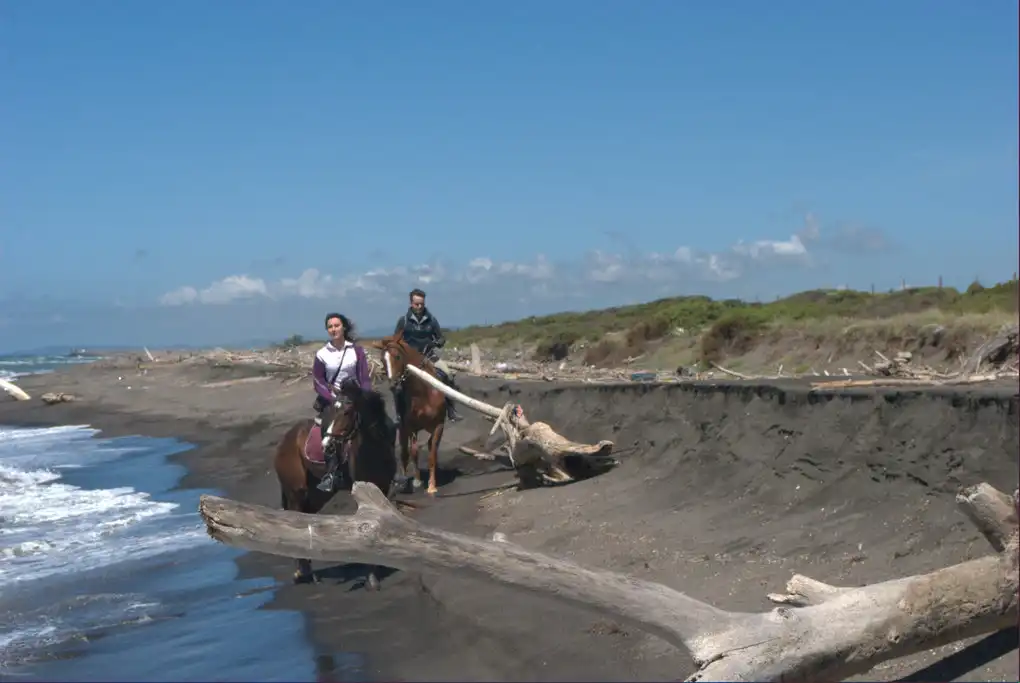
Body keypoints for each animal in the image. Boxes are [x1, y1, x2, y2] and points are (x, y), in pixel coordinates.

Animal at [273, 378, 398, 588]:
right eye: (332, 411)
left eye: (347, 412)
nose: (327, 445)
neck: (374, 450)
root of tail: (286, 439)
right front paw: (371, 578)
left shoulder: (382, 487)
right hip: (296, 492)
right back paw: (303, 572)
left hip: (316, 495)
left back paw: (308, 572)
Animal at [371, 334, 450, 496]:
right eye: (382, 360)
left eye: (397, 356)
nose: (394, 385)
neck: (424, 392)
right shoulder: (411, 427)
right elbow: (413, 452)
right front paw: (418, 481)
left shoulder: (439, 425)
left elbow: (432, 453)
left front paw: (432, 486)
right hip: (403, 430)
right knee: (404, 454)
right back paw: (404, 480)